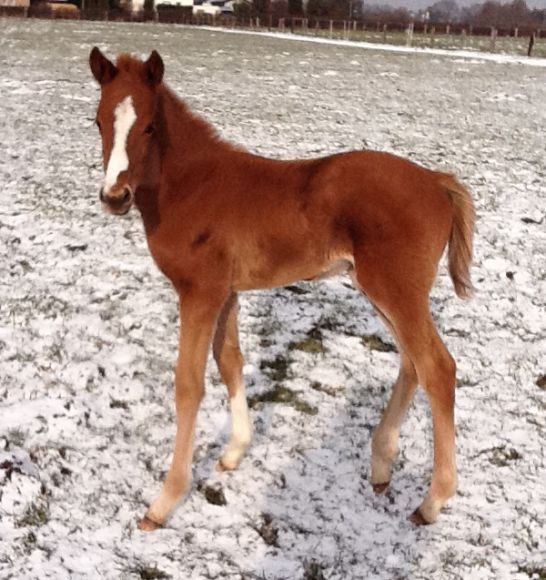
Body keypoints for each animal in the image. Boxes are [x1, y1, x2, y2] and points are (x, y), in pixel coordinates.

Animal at [89, 48, 472, 532]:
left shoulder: (199, 293)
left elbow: (188, 384)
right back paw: (382, 465)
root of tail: (438, 181)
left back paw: (432, 501)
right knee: (412, 363)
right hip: (381, 290)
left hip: (396, 290)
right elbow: (230, 361)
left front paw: (163, 503)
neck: (192, 187)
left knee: (437, 368)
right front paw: (234, 452)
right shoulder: (226, 293)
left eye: (150, 126)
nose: (114, 196)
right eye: (98, 121)